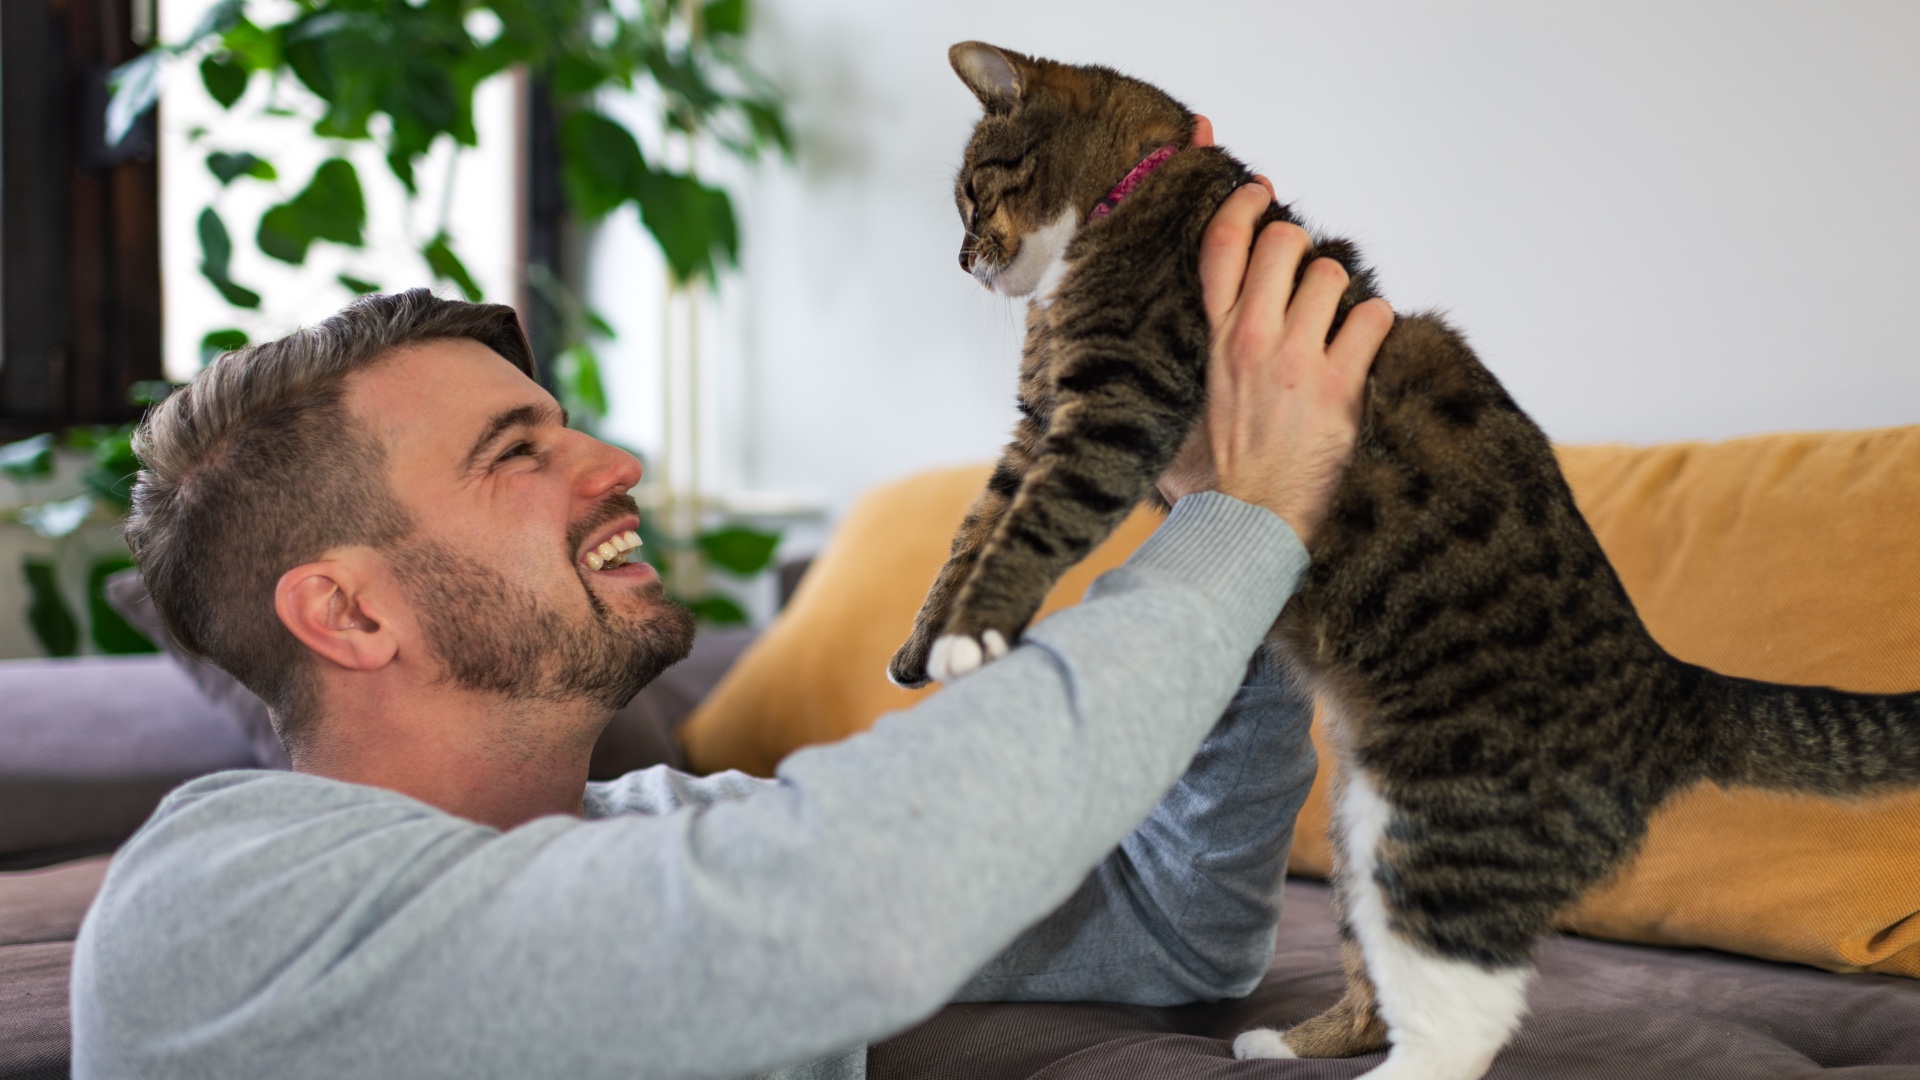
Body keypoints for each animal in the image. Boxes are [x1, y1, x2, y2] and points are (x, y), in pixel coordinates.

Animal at [894, 39, 1920, 1076]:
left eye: (972, 195)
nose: (963, 260)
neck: (1132, 193)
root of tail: (1669, 687)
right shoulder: (1037, 421)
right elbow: (975, 526)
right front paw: (923, 641)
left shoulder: (1116, 402)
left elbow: (1033, 524)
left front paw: (971, 634)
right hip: (1366, 834)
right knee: (1381, 983)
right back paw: (1284, 1042)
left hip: (1448, 828)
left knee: (1461, 1016)